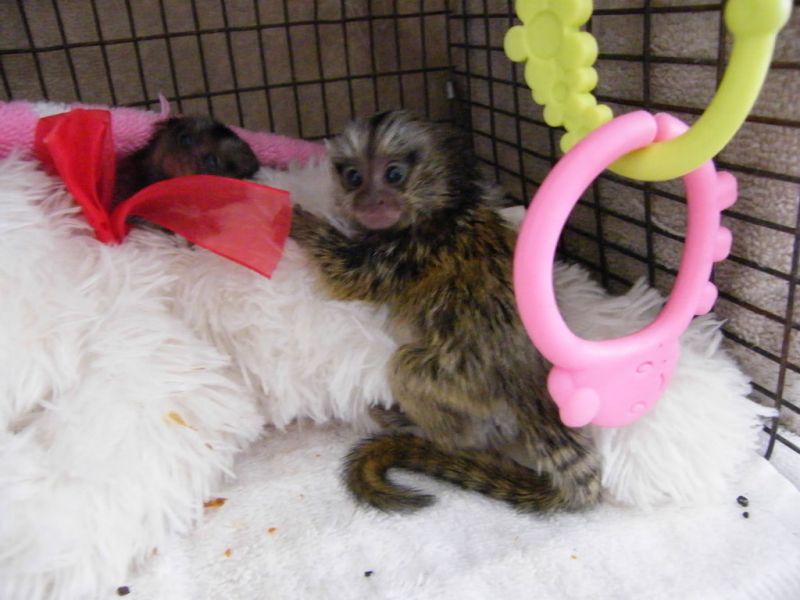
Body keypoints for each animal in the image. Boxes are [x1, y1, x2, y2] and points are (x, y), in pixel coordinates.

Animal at [290, 110, 601, 513]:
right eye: (354, 177)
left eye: (393, 174)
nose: (370, 200)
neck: (440, 211)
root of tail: (529, 386)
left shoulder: (411, 251)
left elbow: (346, 273)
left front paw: (301, 224)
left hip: (460, 381)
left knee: (409, 370)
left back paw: (415, 425)